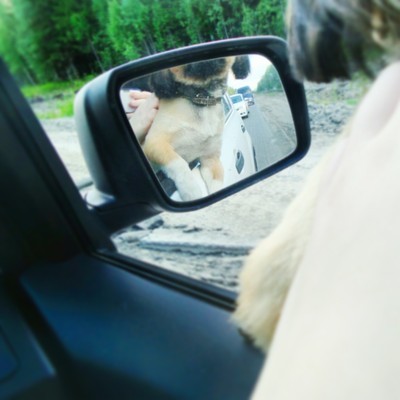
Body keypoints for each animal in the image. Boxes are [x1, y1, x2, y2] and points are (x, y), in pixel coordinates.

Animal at [141, 56, 250, 201]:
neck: (203, 99)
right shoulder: (155, 144)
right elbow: (178, 163)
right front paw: (191, 191)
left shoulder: (210, 160)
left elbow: (216, 185)